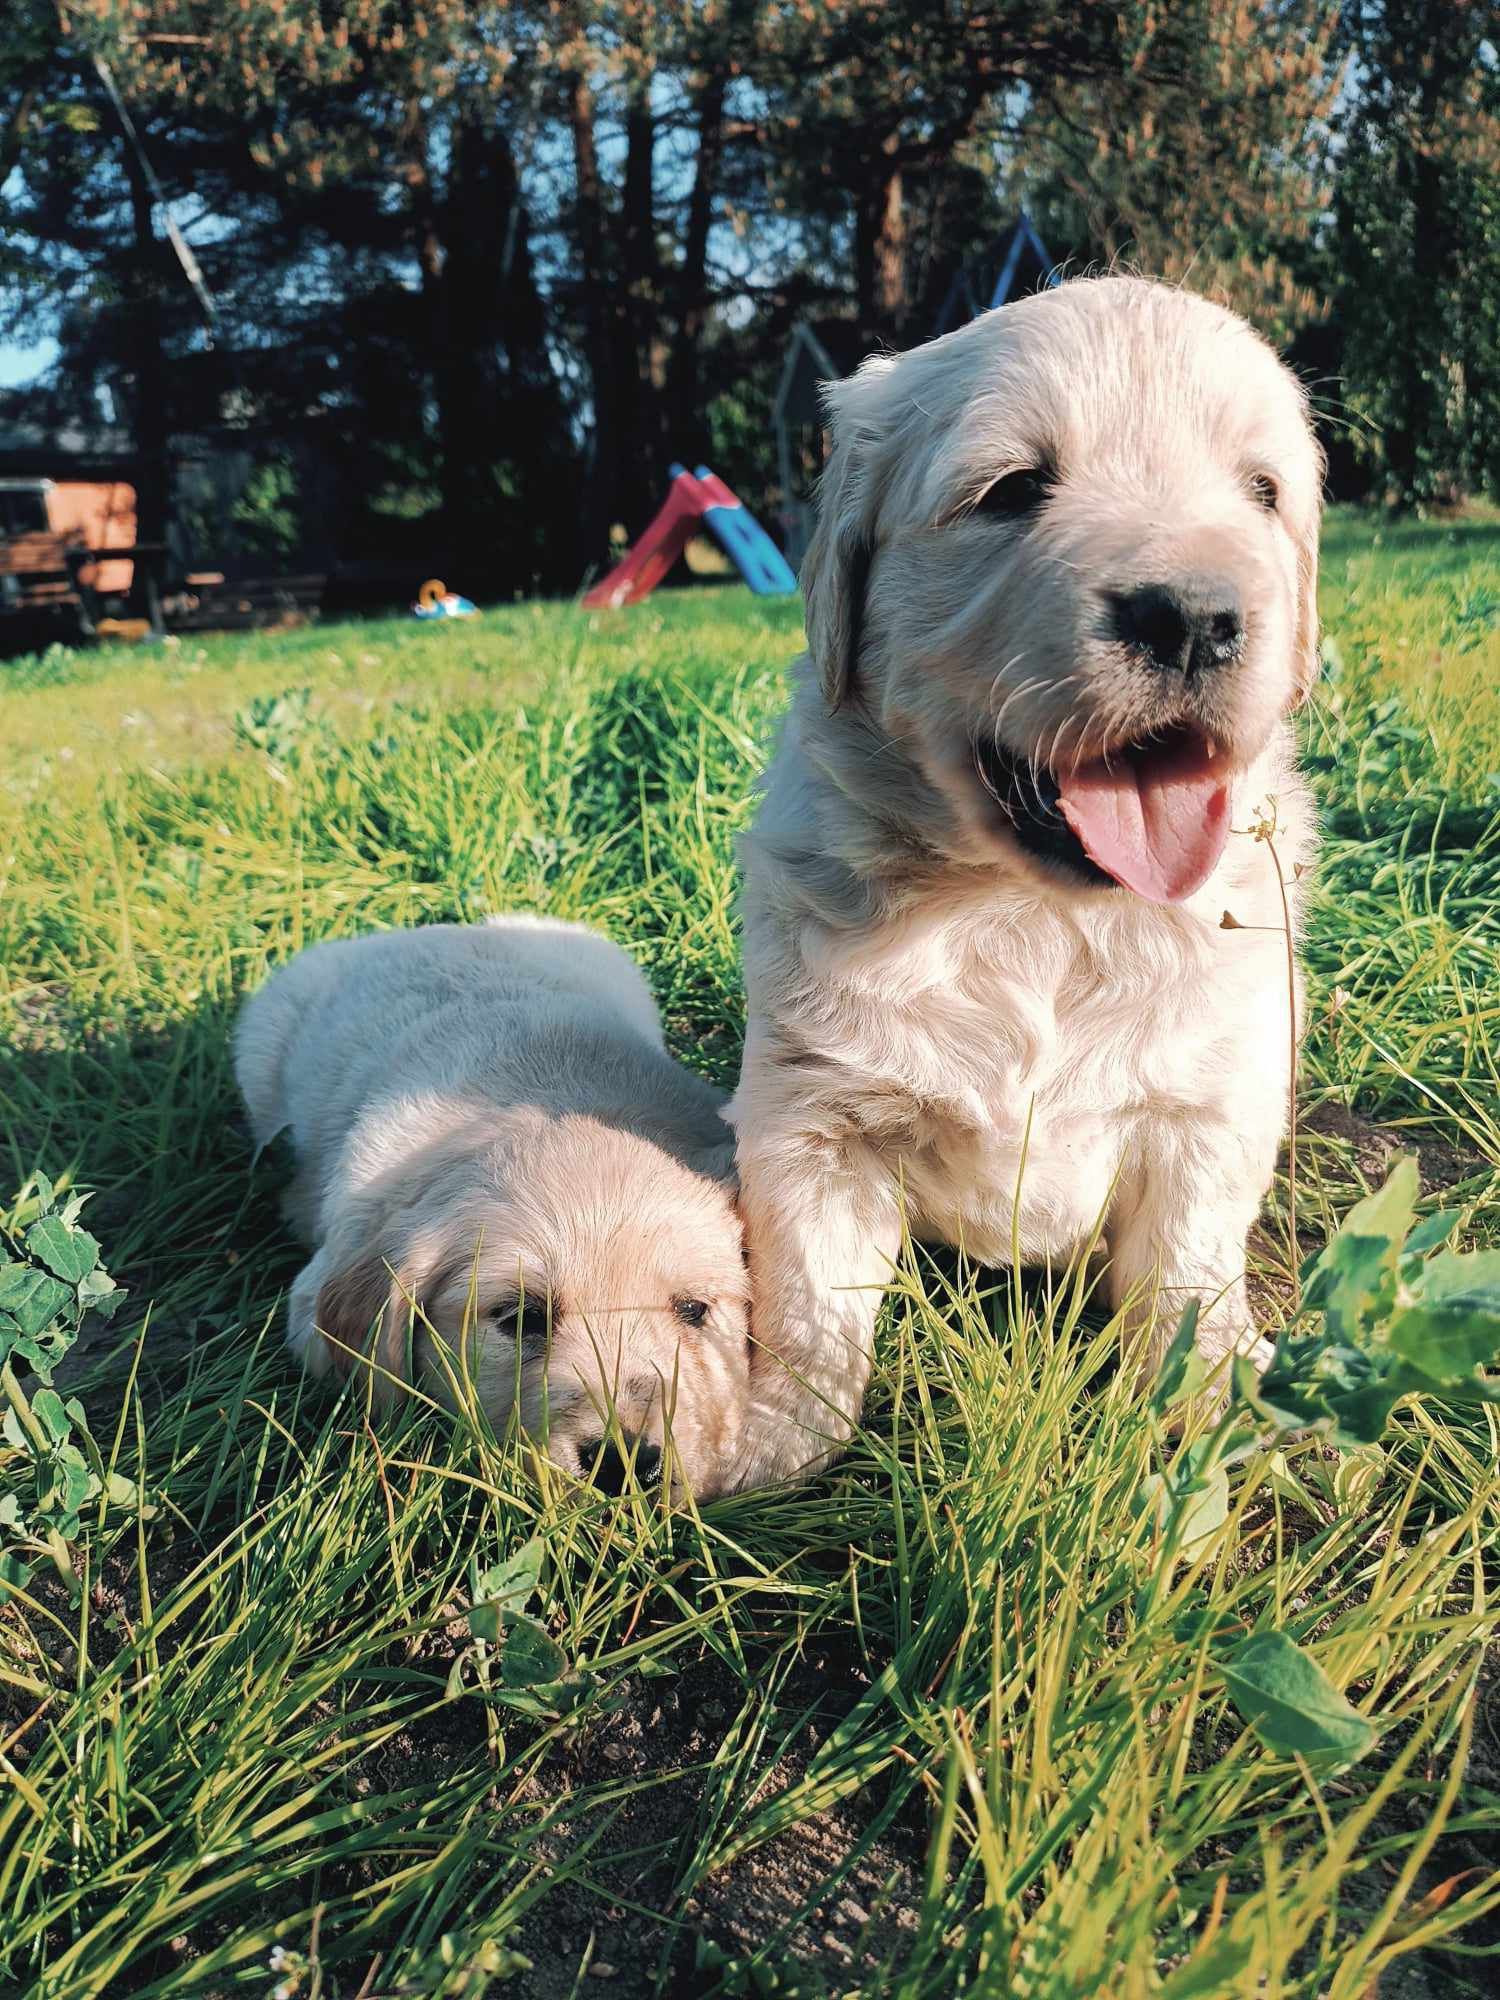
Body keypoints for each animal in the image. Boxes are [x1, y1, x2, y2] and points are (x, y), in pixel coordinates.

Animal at [732, 274, 1328, 1488]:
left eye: (1262, 493)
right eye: (1011, 489)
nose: (1194, 617)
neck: (1037, 917)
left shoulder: (1214, 1102)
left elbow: (1189, 1262)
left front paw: (1213, 1400)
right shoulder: (809, 1115)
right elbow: (812, 1296)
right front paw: (773, 1446)